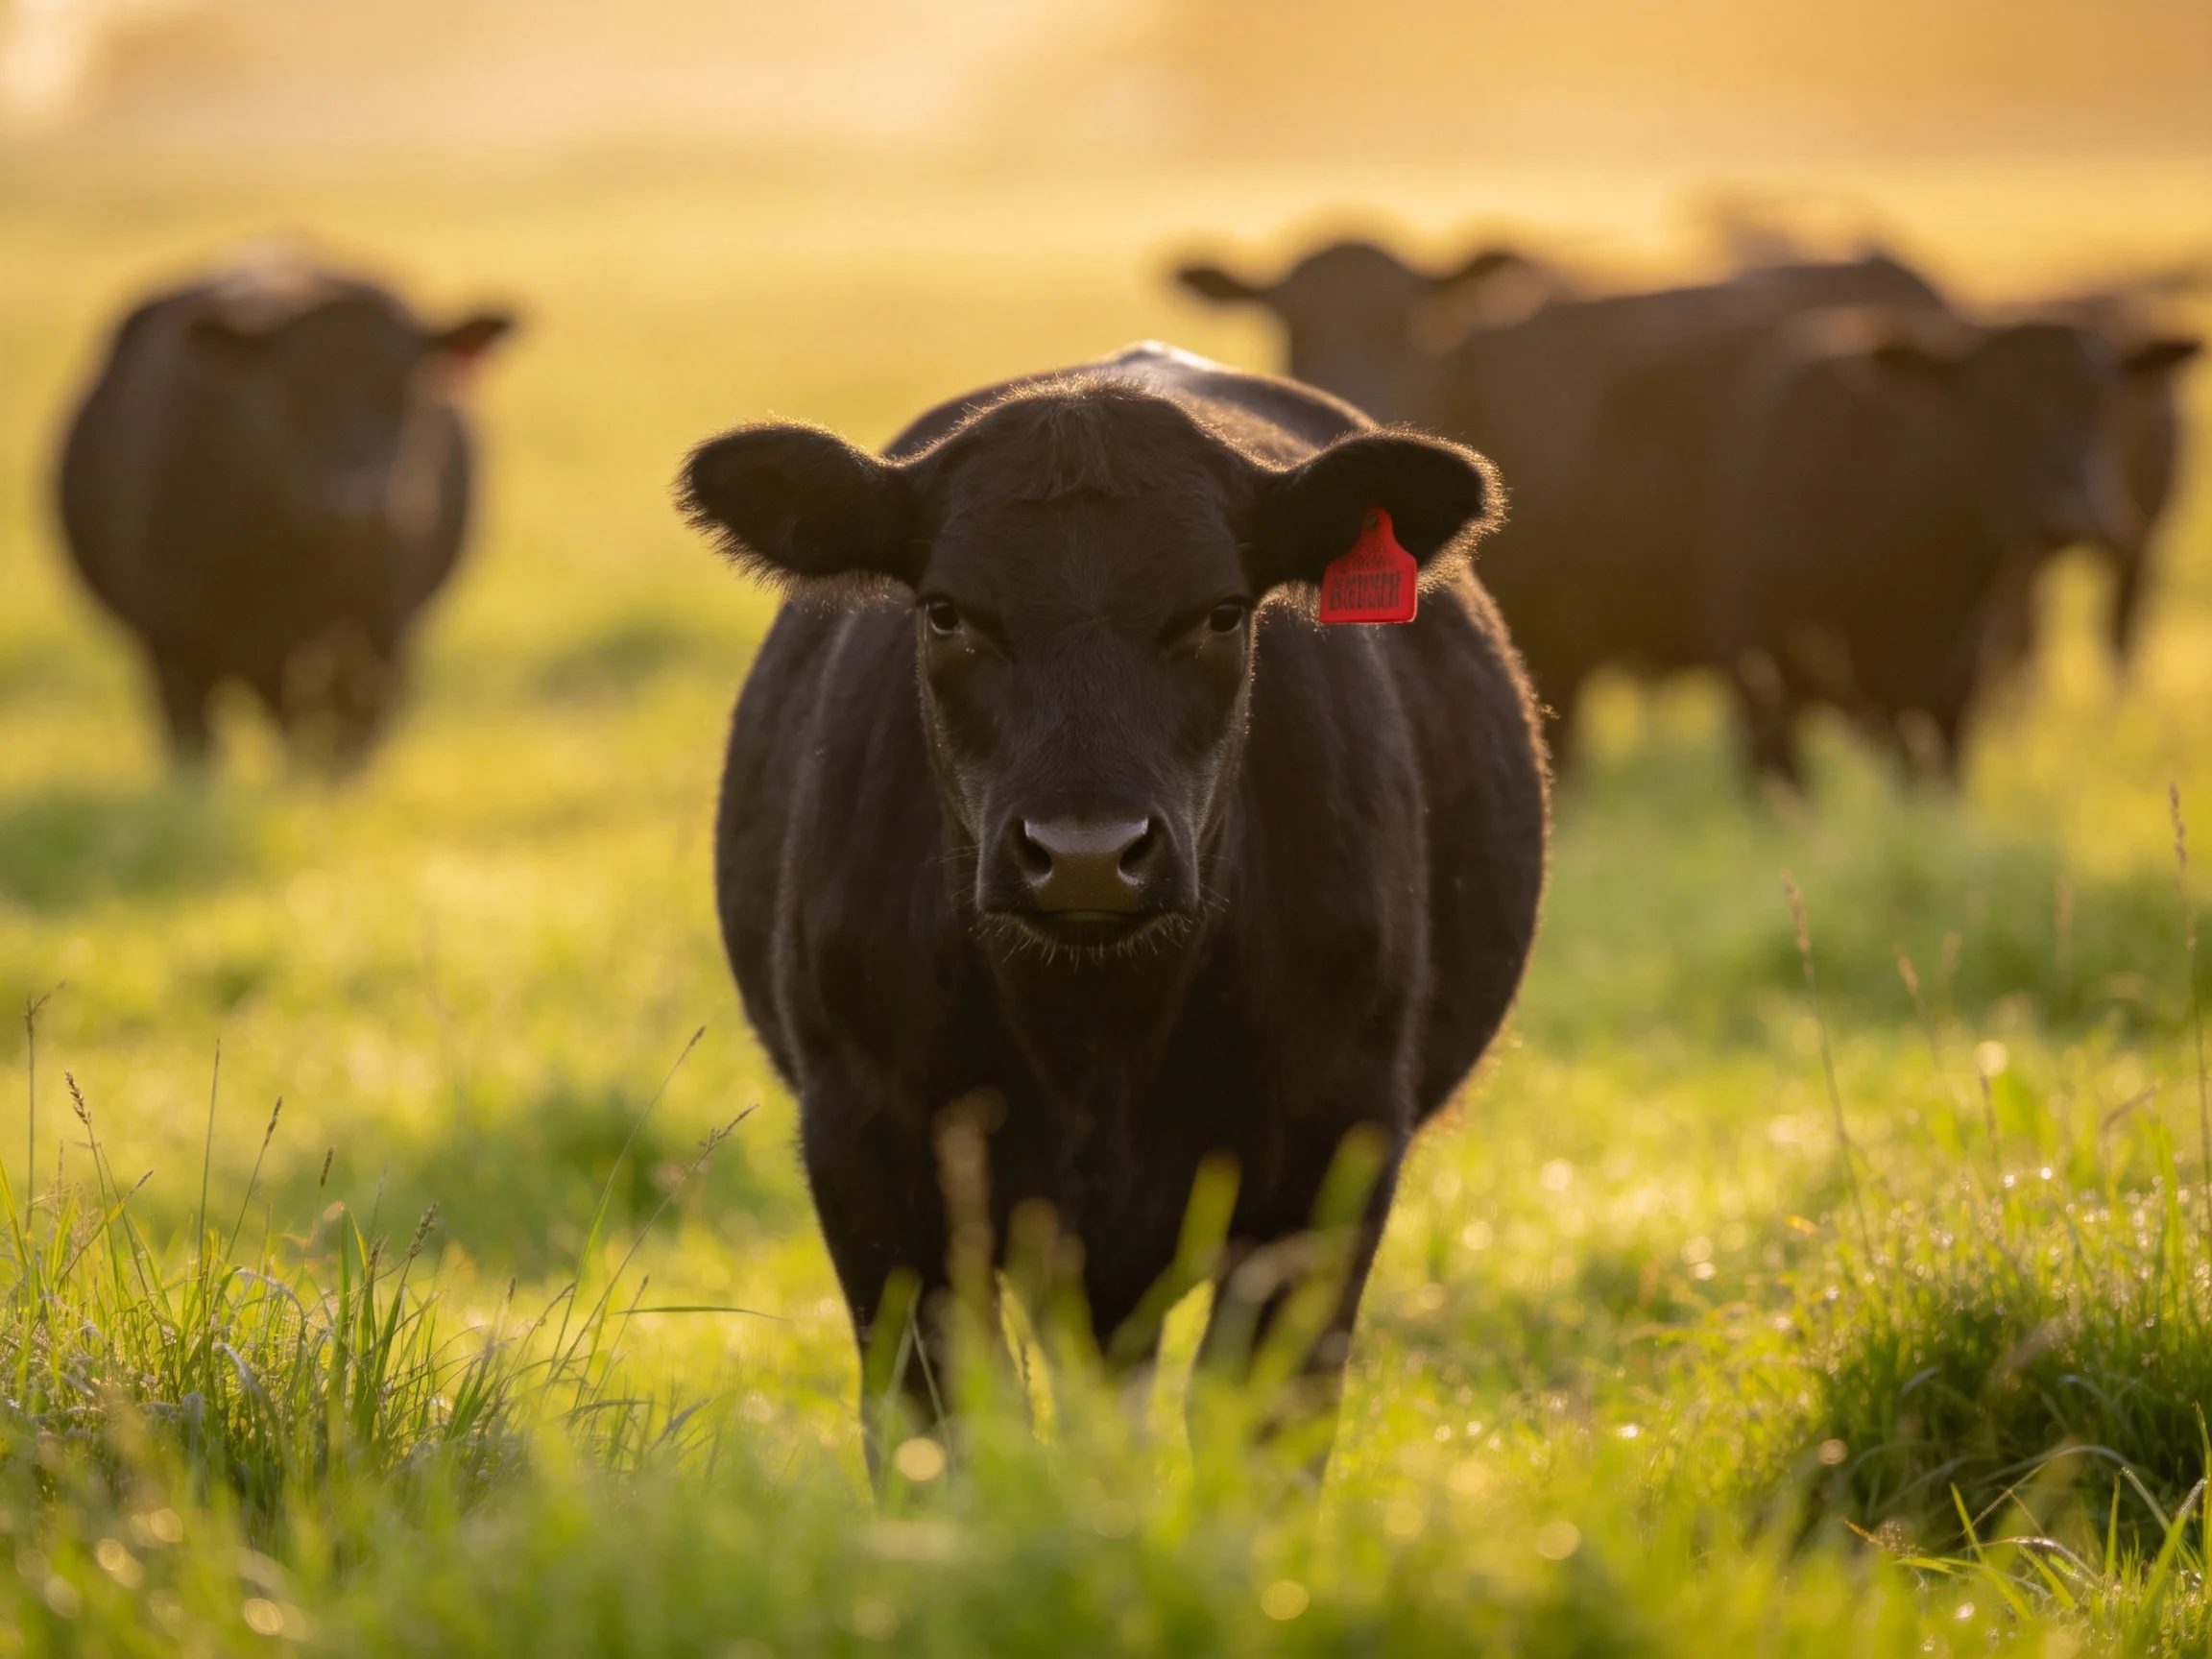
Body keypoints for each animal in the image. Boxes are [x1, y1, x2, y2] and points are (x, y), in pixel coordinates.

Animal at [56, 252, 517, 768]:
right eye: (293, 387)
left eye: (409, 387)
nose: (355, 506)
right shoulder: (169, 644)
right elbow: (198, 747)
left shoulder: (378, 632)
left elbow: (344, 738)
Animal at [679, 342, 1547, 1461]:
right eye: (946, 611)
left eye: (1222, 612)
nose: (1086, 855)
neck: (1097, 1036)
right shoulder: (864, 1137)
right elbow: (940, 1425)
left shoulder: (1338, 1139)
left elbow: (1260, 1425)